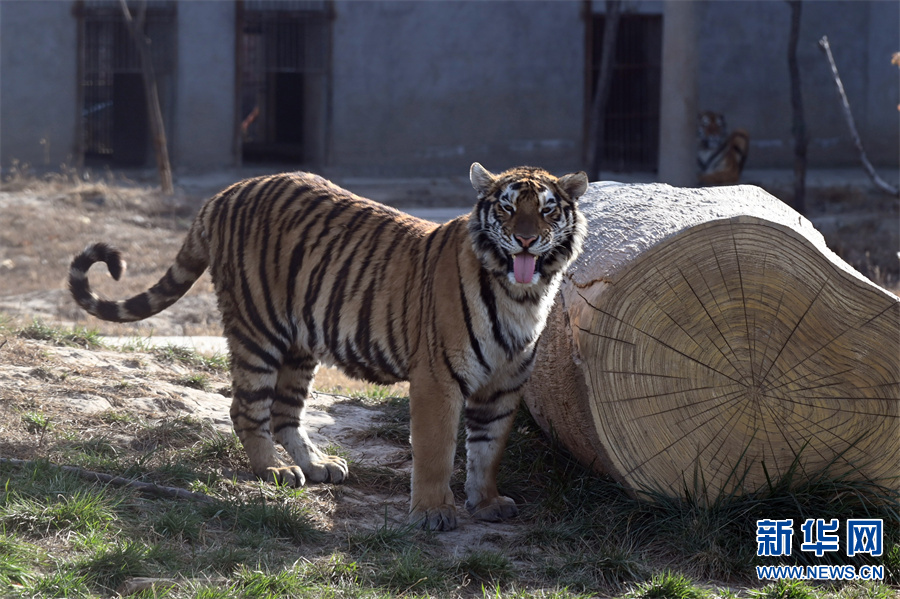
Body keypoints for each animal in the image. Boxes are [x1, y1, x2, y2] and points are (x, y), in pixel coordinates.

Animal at [70, 163, 592, 528]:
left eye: (547, 210)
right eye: (506, 208)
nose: (525, 240)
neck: (522, 295)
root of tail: (225, 193)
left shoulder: (505, 385)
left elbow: (488, 449)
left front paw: (485, 503)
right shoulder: (437, 378)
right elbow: (437, 448)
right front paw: (432, 513)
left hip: (300, 343)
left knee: (285, 413)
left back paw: (316, 466)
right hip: (257, 331)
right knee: (247, 409)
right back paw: (273, 473)